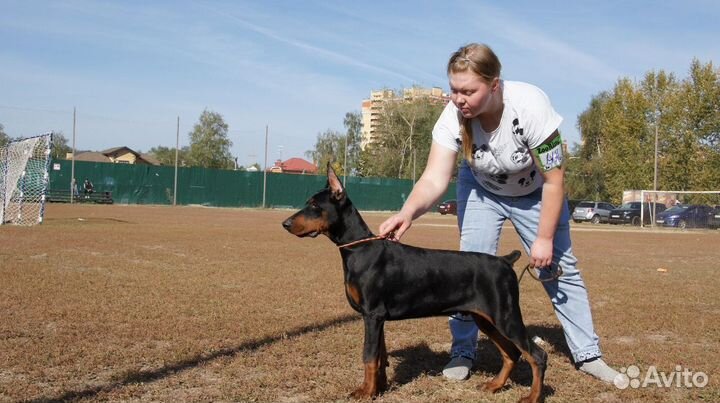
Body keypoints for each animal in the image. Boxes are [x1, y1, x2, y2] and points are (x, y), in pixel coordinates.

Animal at [282, 166, 544, 402]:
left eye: (315, 205)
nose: (285, 224)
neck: (359, 249)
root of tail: (505, 260)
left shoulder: (372, 314)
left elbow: (368, 355)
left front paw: (365, 392)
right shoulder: (378, 318)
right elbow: (380, 356)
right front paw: (379, 388)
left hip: (505, 316)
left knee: (537, 355)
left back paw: (533, 397)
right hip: (485, 319)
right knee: (512, 353)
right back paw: (494, 385)